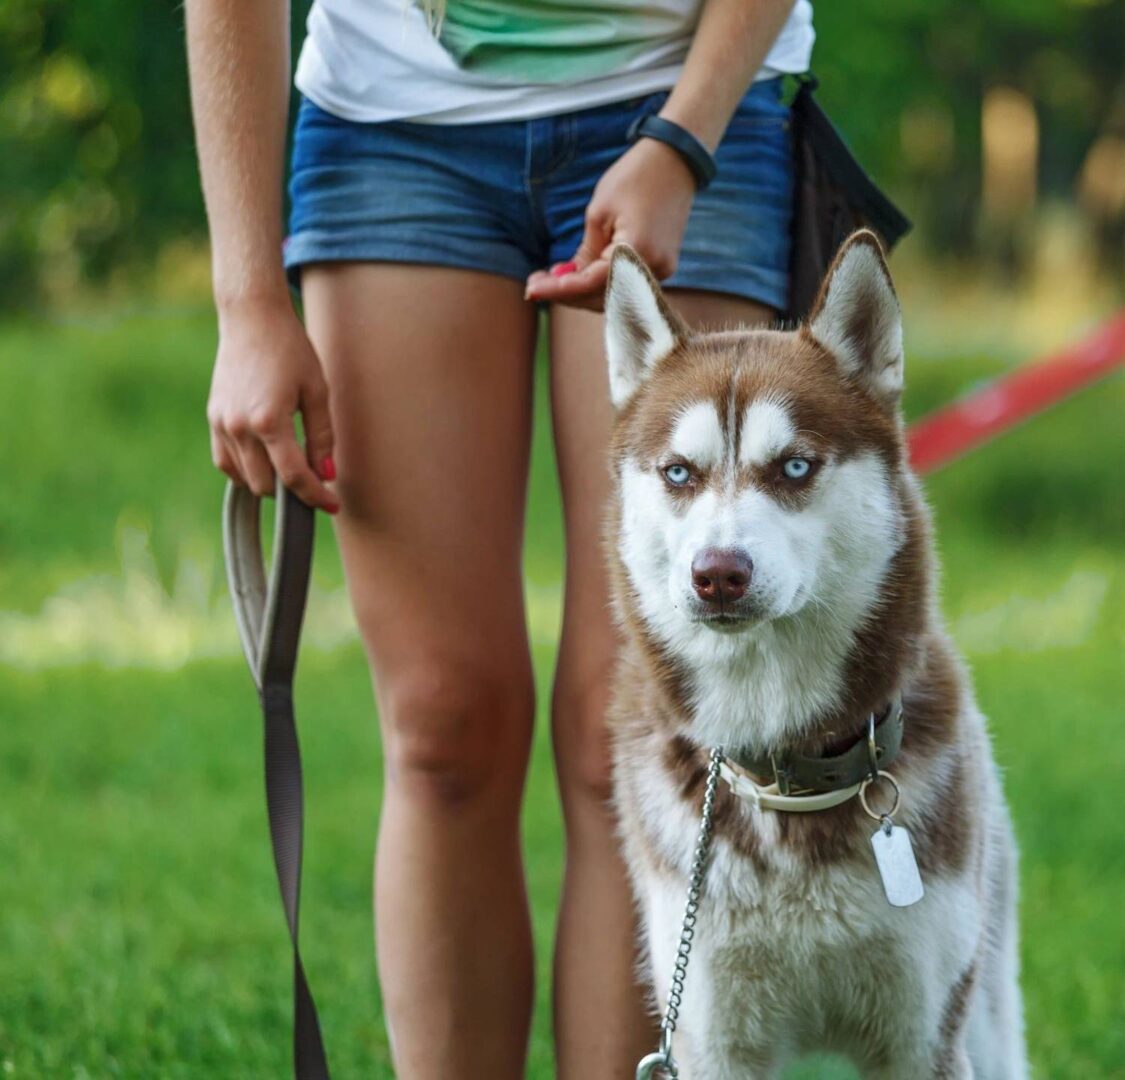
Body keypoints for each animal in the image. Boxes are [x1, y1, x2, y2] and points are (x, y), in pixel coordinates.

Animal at [607, 231, 1030, 1075]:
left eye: (793, 466)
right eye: (678, 472)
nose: (717, 573)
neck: (783, 772)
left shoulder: (922, 1035)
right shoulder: (713, 1032)